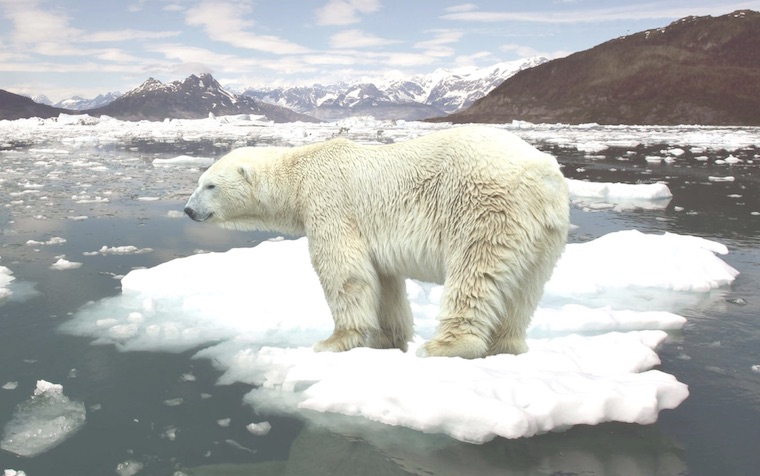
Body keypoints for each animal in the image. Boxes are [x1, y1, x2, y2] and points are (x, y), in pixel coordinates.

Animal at [184, 126, 569, 359]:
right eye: (200, 181)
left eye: (210, 185)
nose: (188, 210)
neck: (299, 173)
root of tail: (543, 174)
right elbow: (384, 282)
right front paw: (388, 339)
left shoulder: (330, 202)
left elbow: (344, 271)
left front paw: (333, 341)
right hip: (545, 234)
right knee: (525, 289)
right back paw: (507, 346)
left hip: (485, 208)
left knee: (475, 273)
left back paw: (444, 346)